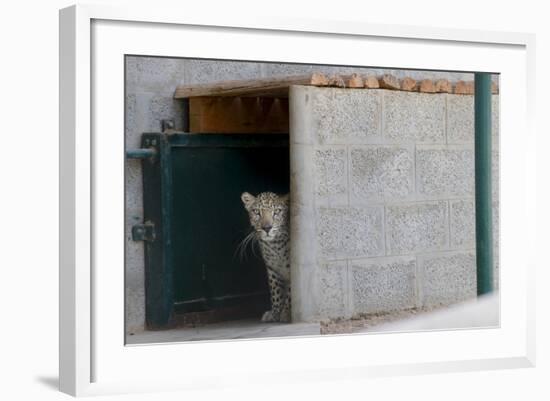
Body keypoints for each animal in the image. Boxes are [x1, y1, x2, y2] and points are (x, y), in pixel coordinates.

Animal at [242, 191, 294, 322]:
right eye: (257, 212)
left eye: (276, 211)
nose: (267, 228)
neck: (275, 245)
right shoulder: (272, 268)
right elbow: (275, 290)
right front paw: (275, 313)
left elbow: (290, 291)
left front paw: (286, 313)